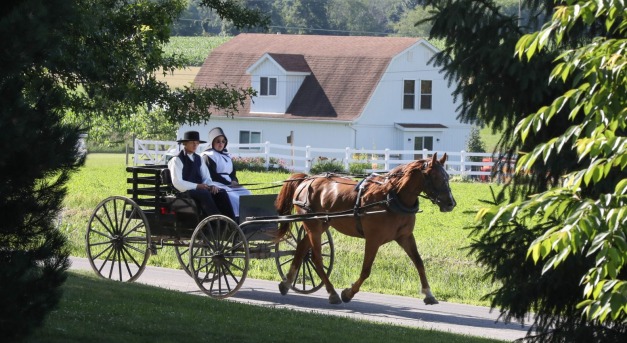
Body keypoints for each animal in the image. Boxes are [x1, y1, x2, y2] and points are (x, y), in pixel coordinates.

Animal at [274, 153, 456, 306]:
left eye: (447, 177)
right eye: (435, 176)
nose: (451, 203)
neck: (391, 196)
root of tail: (307, 179)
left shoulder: (405, 236)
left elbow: (419, 262)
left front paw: (428, 293)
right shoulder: (373, 239)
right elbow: (366, 270)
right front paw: (348, 293)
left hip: (321, 225)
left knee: (301, 248)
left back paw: (286, 283)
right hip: (313, 226)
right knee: (316, 258)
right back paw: (332, 293)